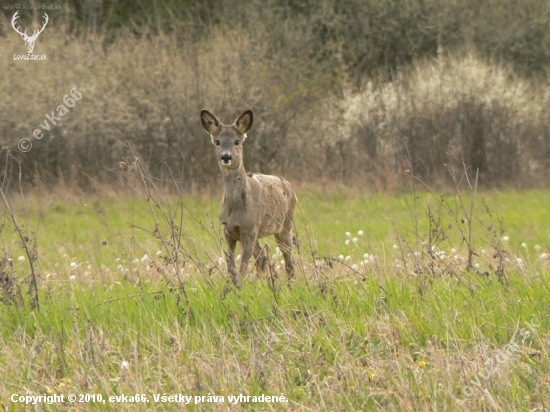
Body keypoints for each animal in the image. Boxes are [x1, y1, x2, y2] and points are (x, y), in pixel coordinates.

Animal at [202, 111, 298, 288]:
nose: (226, 156)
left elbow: (243, 267)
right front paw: (233, 285)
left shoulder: (250, 228)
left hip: (285, 225)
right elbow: (231, 264)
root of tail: (289, 186)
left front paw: (239, 287)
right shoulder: (229, 229)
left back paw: (291, 285)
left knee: (288, 260)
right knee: (262, 258)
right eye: (217, 142)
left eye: (237, 141)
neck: (236, 208)